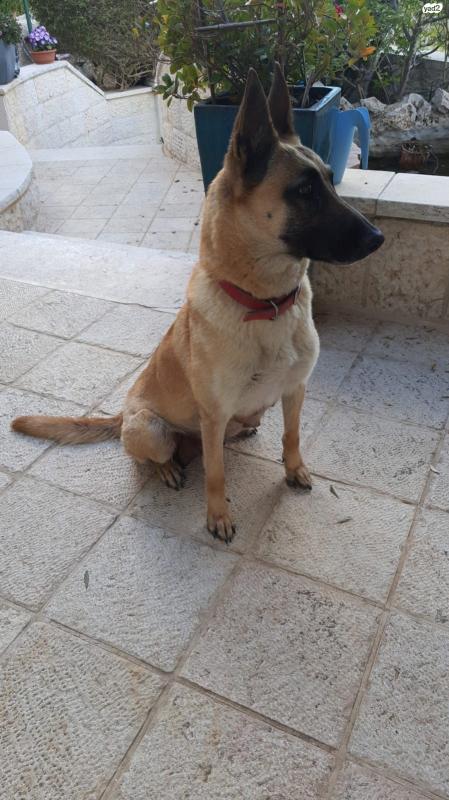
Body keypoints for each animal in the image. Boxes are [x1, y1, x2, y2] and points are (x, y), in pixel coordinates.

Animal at [12, 64, 384, 543]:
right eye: (303, 190)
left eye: (329, 178)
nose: (378, 238)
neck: (266, 304)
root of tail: (121, 414)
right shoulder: (214, 414)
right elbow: (216, 474)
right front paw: (218, 516)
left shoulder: (294, 391)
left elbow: (292, 437)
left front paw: (294, 470)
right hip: (150, 428)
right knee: (155, 456)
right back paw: (169, 468)